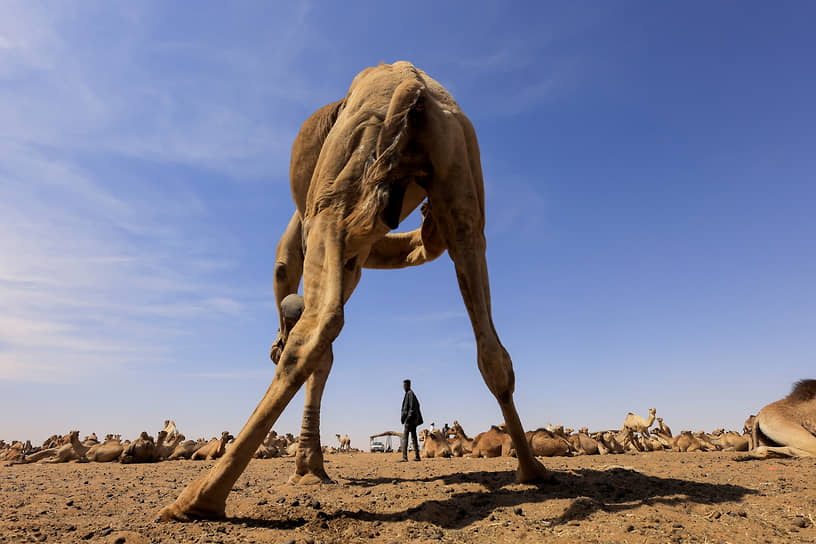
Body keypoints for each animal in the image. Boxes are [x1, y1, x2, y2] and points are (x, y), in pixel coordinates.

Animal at [161, 60, 548, 524]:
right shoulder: (363, 249)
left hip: (339, 186)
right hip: (460, 177)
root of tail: (412, 85)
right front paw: (310, 468)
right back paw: (533, 470)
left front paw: (306, 470)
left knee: (316, 328)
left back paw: (197, 499)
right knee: (491, 348)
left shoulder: (312, 226)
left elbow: (287, 278)